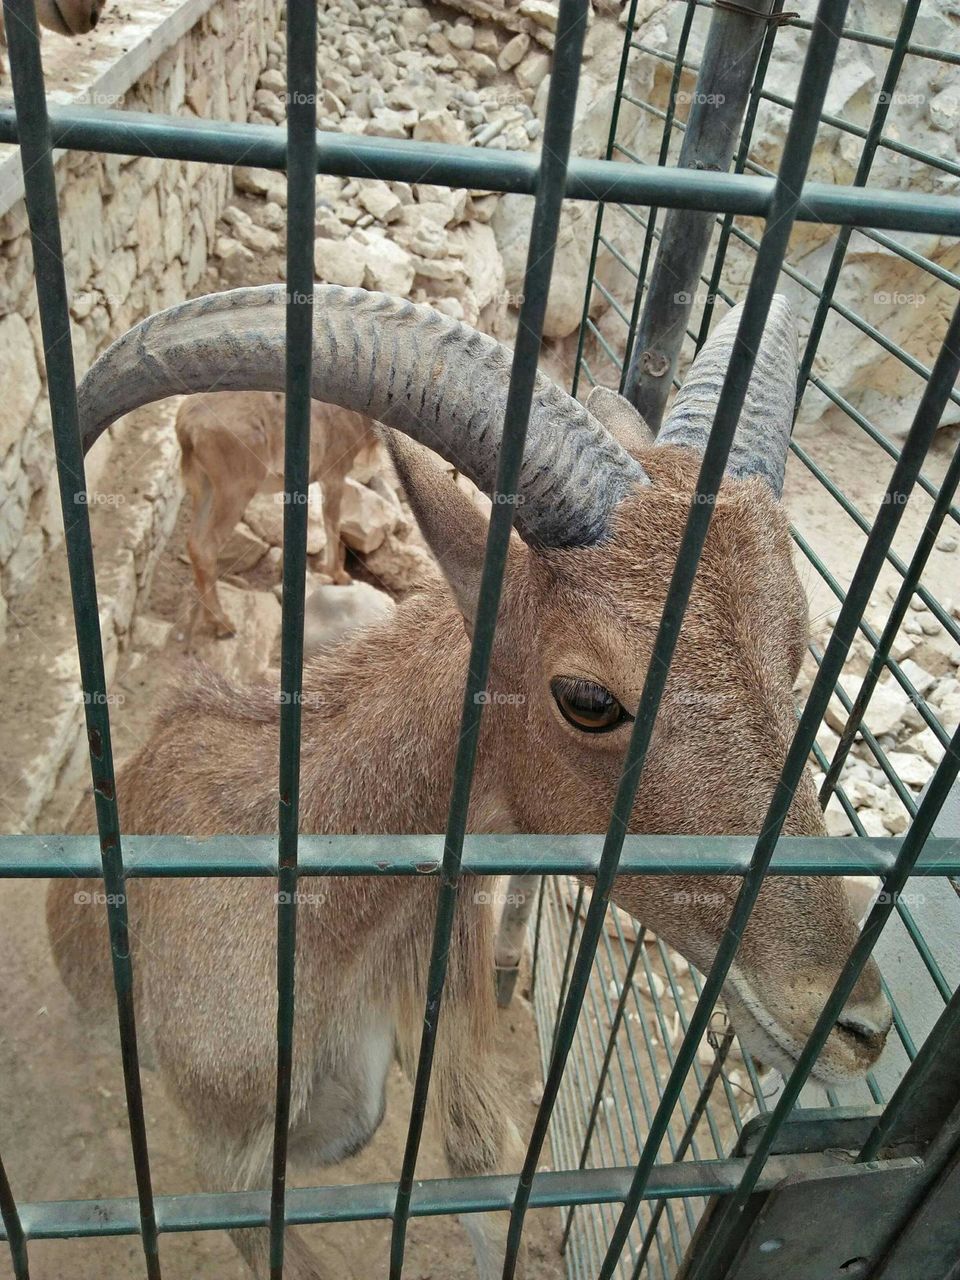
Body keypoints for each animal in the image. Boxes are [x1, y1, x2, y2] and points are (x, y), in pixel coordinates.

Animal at [174, 390, 377, 636]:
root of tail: (186, 426)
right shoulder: (334, 474)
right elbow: (332, 523)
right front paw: (340, 575)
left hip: (204, 486)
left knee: (194, 543)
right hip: (234, 490)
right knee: (206, 546)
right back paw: (222, 623)